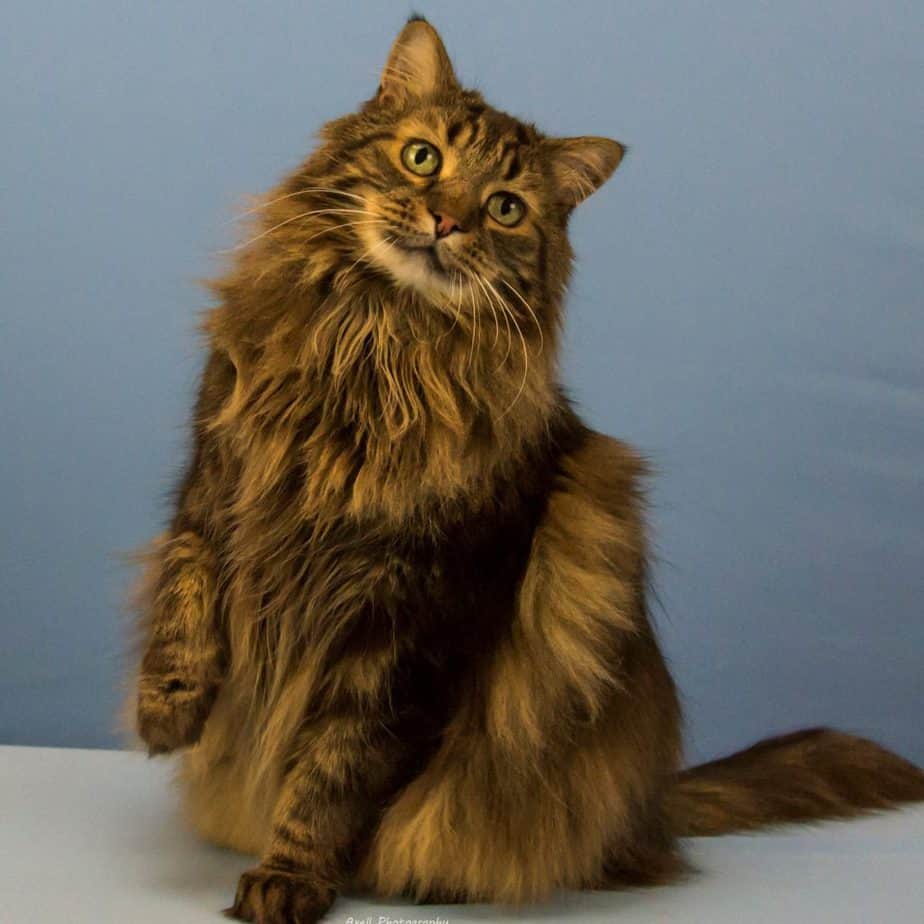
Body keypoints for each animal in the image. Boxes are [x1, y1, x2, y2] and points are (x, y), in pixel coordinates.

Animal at [134, 16, 924, 924]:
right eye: (423, 158)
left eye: (505, 208)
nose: (446, 220)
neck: (377, 348)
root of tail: (651, 805)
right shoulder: (212, 488)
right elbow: (183, 593)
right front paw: (167, 711)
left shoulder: (413, 616)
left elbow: (335, 765)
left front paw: (294, 874)